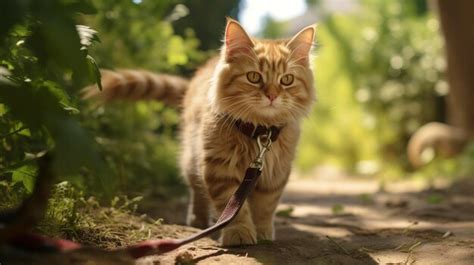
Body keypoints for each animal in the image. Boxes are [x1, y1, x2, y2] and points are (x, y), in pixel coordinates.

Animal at [85, 19, 314, 245]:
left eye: (286, 80)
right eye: (254, 77)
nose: (272, 96)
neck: (259, 131)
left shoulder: (276, 173)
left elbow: (265, 207)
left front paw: (263, 232)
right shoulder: (220, 167)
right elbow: (233, 207)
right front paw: (239, 233)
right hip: (191, 158)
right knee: (197, 191)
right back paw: (198, 221)